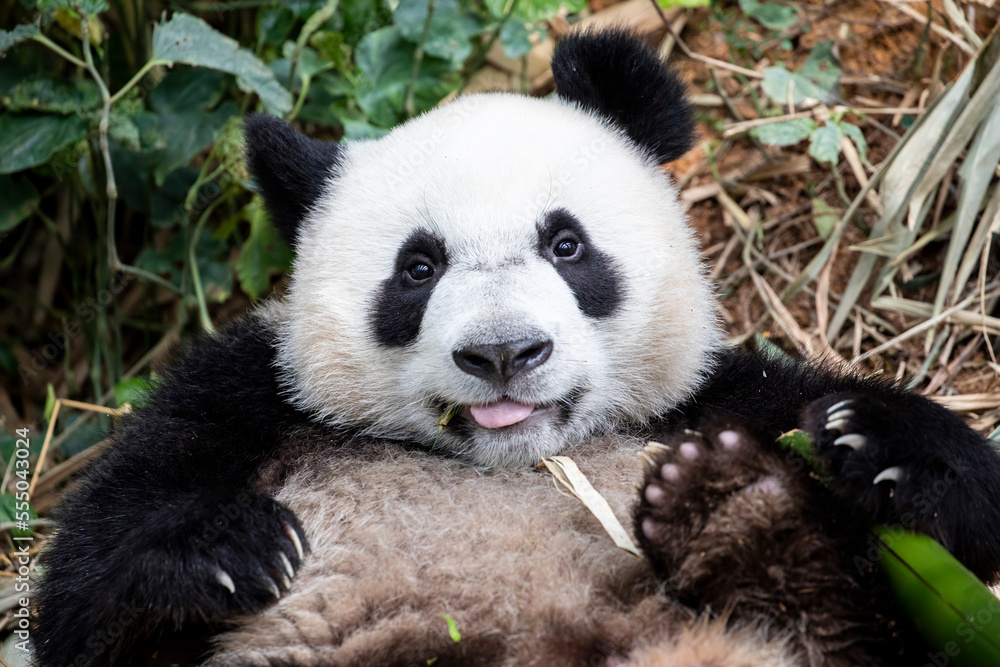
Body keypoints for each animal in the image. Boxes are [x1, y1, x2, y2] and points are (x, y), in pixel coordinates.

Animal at [32, 29, 1000, 667]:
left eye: (566, 244)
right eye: (418, 267)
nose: (503, 352)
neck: (520, 460)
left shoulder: (708, 399)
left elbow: (970, 532)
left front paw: (875, 438)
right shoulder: (252, 399)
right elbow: (86, 589)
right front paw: (229, 553)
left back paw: (735, 511)